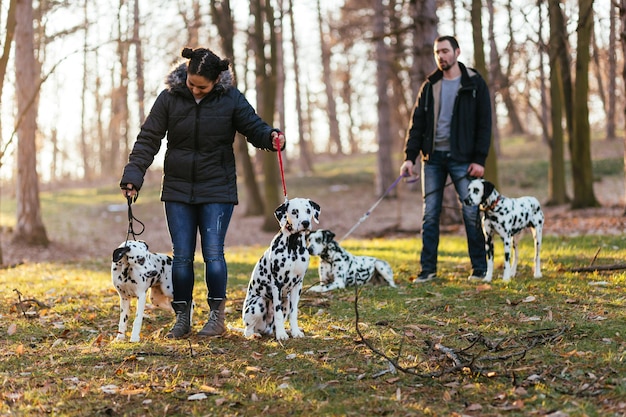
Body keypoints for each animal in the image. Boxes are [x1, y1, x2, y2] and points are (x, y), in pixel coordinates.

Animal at [241, 197, 320, 340]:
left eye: (308, 210)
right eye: (294, 212)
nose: (305, 223)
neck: (293, 245)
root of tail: (265, 329)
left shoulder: (297, 285)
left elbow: (293, 314)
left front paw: (295, 332)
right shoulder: (277, 284)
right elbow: (277, 314)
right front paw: (281, 335)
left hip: (286, 302)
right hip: (258, 303)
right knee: (248, 329)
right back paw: (255, 334)